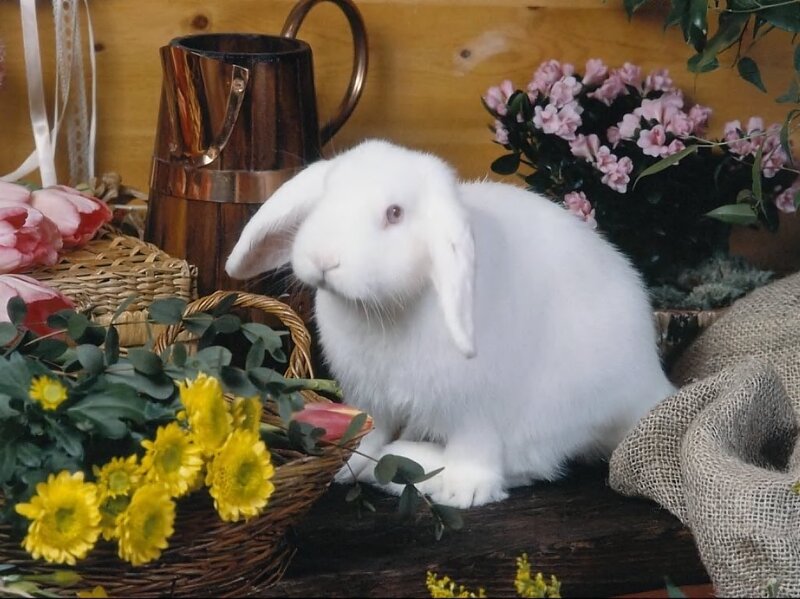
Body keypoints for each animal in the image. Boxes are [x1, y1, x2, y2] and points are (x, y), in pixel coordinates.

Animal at [225, 139, 676, 508]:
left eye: (394, 213)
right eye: (325, 196)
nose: (323, 258)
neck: (385, 310)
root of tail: (650, 384)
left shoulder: (475, 411)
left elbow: (476, 454)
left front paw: (463, 493)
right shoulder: (374, 403)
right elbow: (370, 436)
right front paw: (348, 469)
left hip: (555, 411)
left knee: (528, 464)